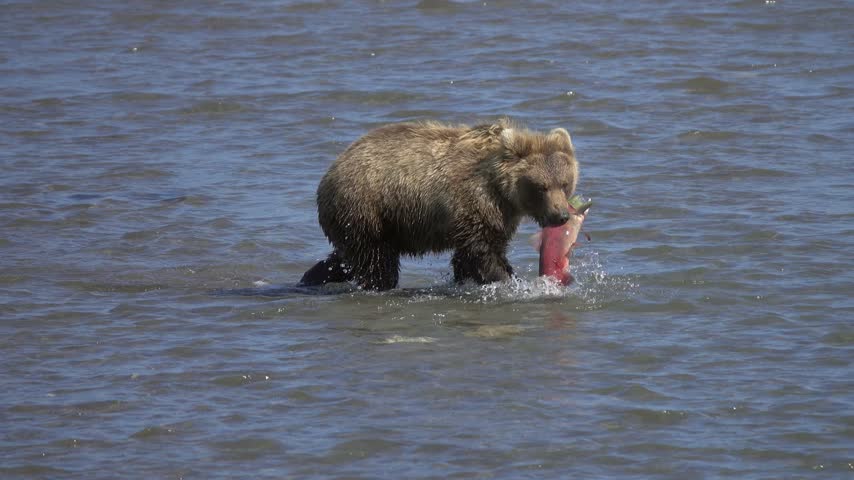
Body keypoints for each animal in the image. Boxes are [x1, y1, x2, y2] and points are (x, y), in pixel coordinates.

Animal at [299, 119, 579, 291]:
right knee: (376, 262)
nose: (560, 215)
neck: (502, 191)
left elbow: (477, 252)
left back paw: (312, 277)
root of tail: (330, 172)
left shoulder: (500, 215)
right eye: (541, 187)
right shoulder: (473, 203)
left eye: (564, 183)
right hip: (366, 207)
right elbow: (482, 252)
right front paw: (509, 280)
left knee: (344, 258)